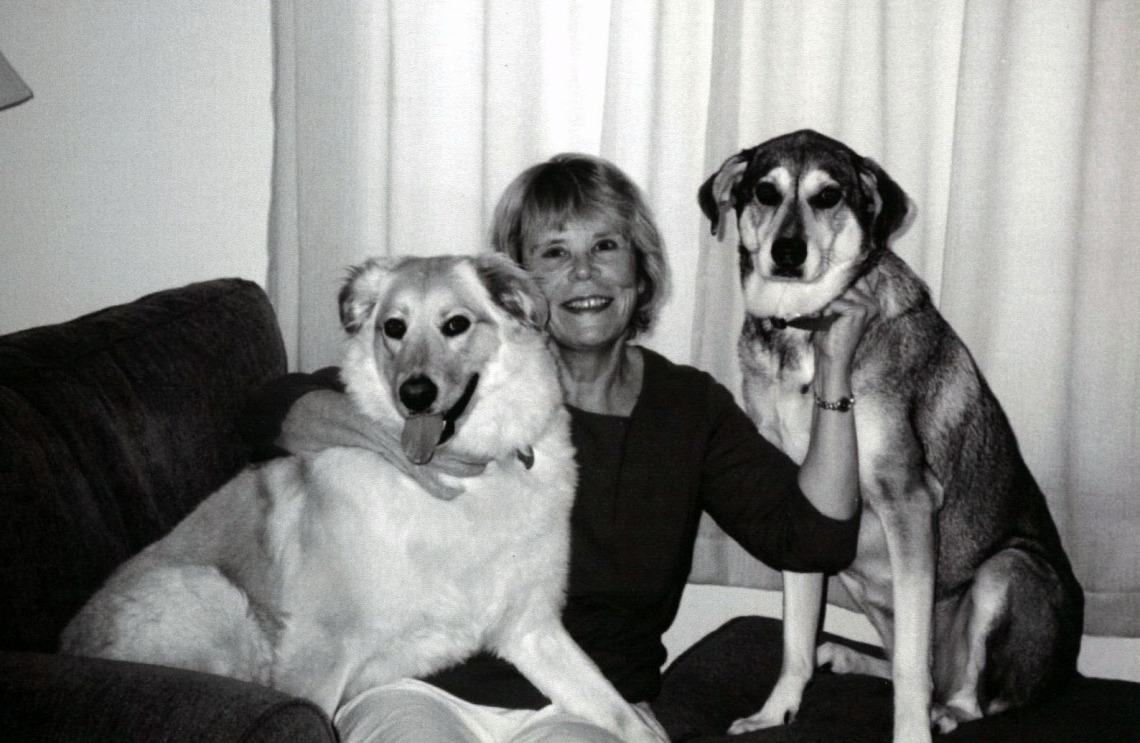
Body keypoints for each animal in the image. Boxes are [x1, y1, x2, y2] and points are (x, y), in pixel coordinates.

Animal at [60, 252, 665, 738]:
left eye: (456, 324)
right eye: (394, 327)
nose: (413, 394)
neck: (467, 480)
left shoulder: (531, 630)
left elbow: (623, 718)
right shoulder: (320, 654)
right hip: (214, 596)